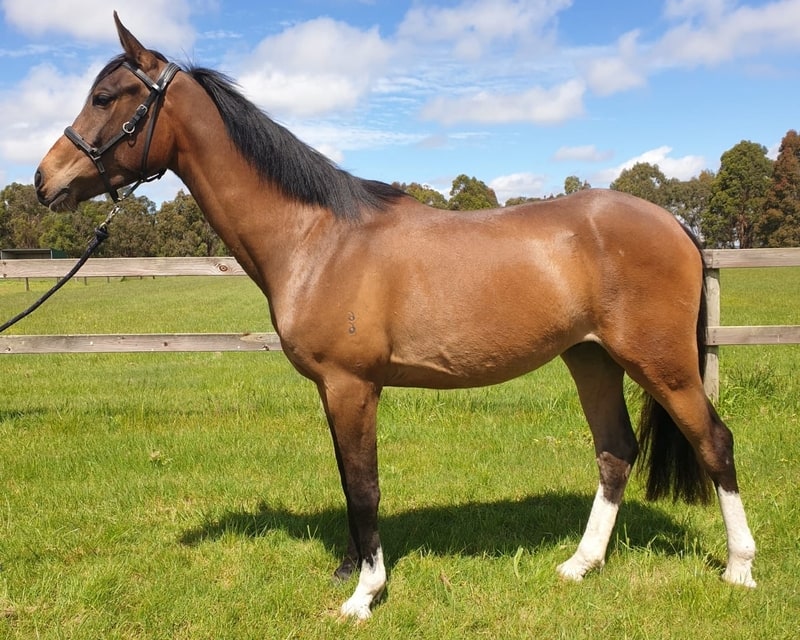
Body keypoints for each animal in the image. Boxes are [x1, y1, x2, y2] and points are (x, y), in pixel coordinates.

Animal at [34, 13, 756, 620]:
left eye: (108, 98)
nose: (46, 181)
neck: (317, 238)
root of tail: (675, 223)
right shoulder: (334, 390)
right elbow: (349, 482)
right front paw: (354, 572)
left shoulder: (353, 386)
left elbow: (365, 488)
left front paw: (364, 595)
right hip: (592, 357)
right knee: (615, 452)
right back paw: (580, 565)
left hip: (660, 363)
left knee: (714, 443)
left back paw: (740, 570)